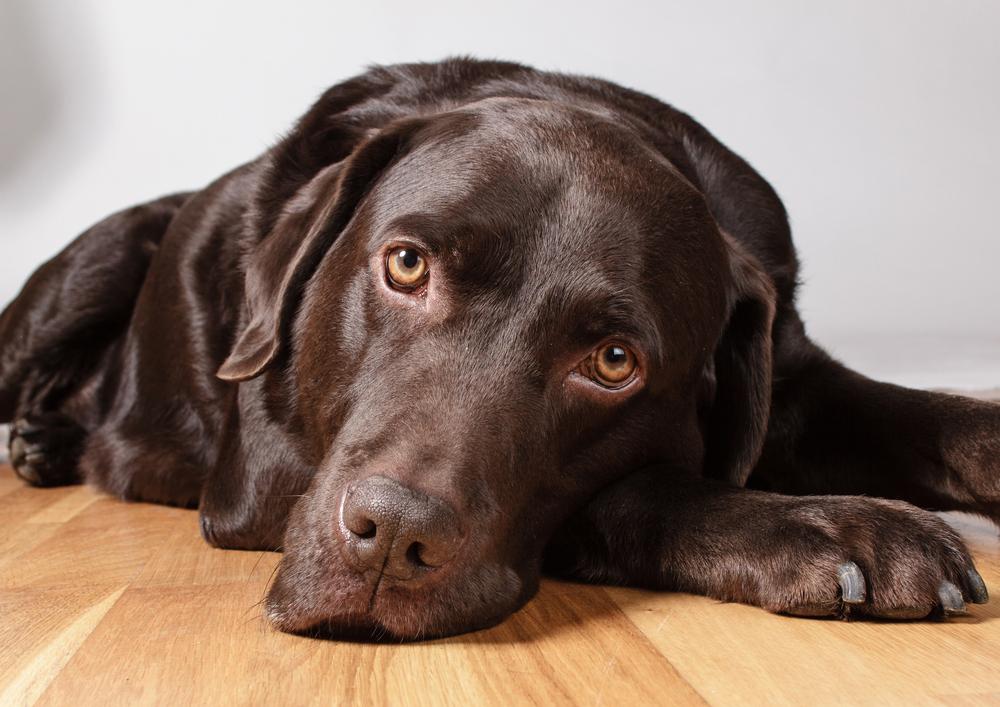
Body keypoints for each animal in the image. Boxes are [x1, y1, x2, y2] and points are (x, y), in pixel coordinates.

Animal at [3, 58, 996, 640]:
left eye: (614, 362)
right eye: (406, 263)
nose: (393, 534)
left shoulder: (795, 378)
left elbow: (944, 425)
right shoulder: (263, 478)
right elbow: (640, 489)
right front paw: (832, 526)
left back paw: (50, 444)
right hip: (86, 274)